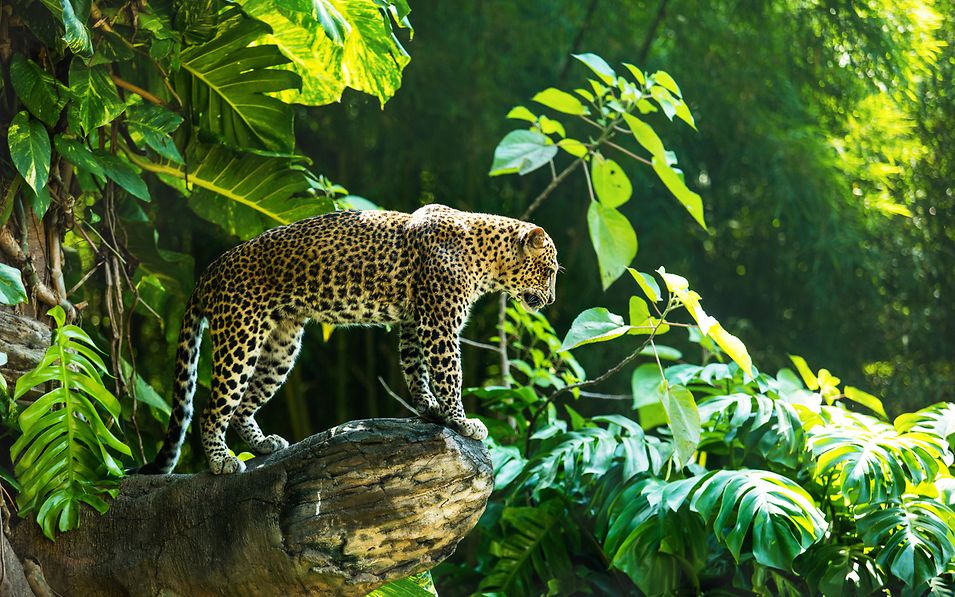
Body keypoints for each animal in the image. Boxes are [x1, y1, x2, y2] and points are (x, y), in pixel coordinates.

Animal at [143, 204, 558, 475]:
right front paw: (461, 420)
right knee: (213, 408)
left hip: (281, 344)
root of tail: (209, 270)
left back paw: (263, 445)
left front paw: (430, 410)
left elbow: (416, 370)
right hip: (240, 336)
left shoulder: (415, 322)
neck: (486, 257)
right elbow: (448, 374)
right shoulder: (439, 324)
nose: (553, 299)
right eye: (550, 270)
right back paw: (220, 461)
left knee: (244, 404)